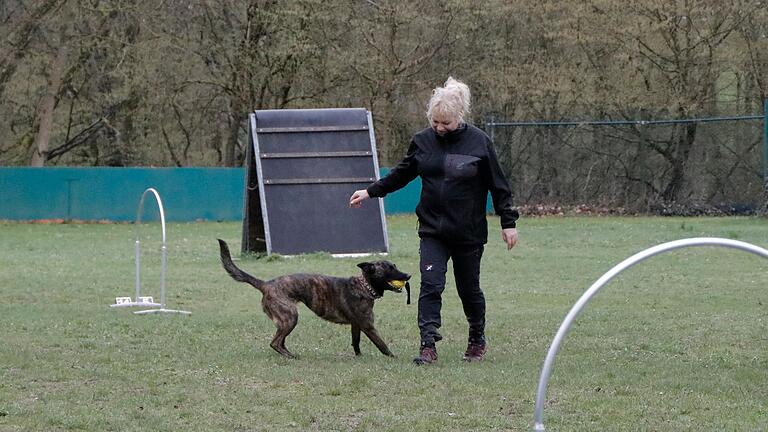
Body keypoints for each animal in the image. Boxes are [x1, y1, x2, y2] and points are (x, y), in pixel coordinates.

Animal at [216, 240, 412, 358]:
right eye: (389, 269)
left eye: (395, 266)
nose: (409, 275)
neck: (364, 286)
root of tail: (266, 284)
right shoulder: (368, 326)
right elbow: (382, 344)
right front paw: (393, 357)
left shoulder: (356, 325)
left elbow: (355, 342)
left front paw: (359, 357)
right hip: (290, 317)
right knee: (274, 342)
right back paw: (290, 357)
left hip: (286, 321)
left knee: (280, 341)